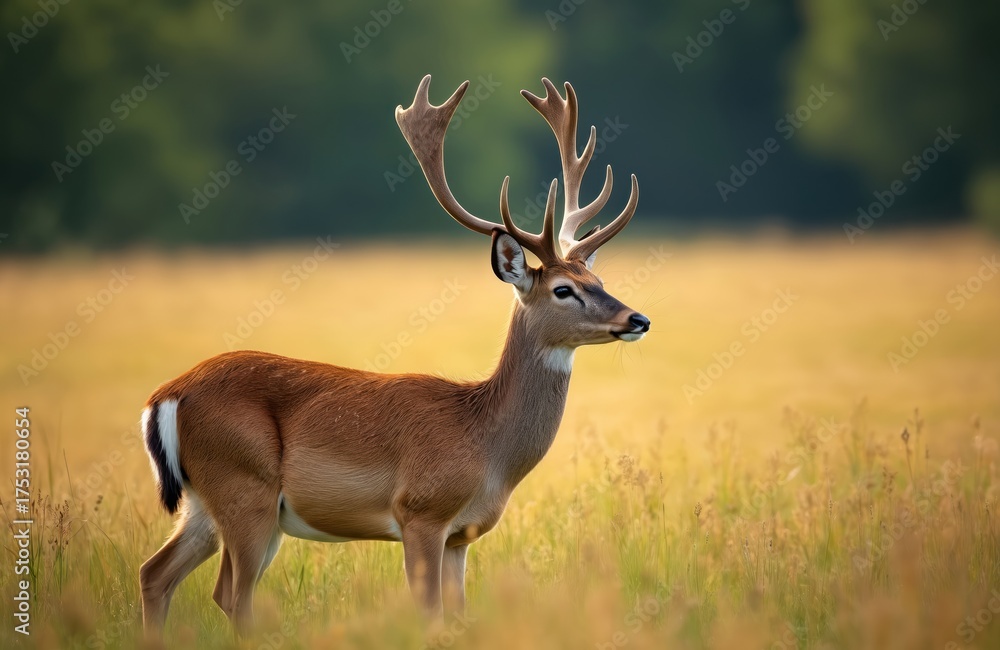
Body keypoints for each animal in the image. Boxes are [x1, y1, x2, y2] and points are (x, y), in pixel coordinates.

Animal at [139, 75, 650, 636]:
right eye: (563, 290)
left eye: (597, 280)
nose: (637, 319)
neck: (485, 445)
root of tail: (165, 396)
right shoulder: (420, 511)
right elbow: (429, 613)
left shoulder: (461, 536)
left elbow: (459, 616)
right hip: (244, 487)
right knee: (231, 594)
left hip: (204, 502)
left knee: (155, 573)